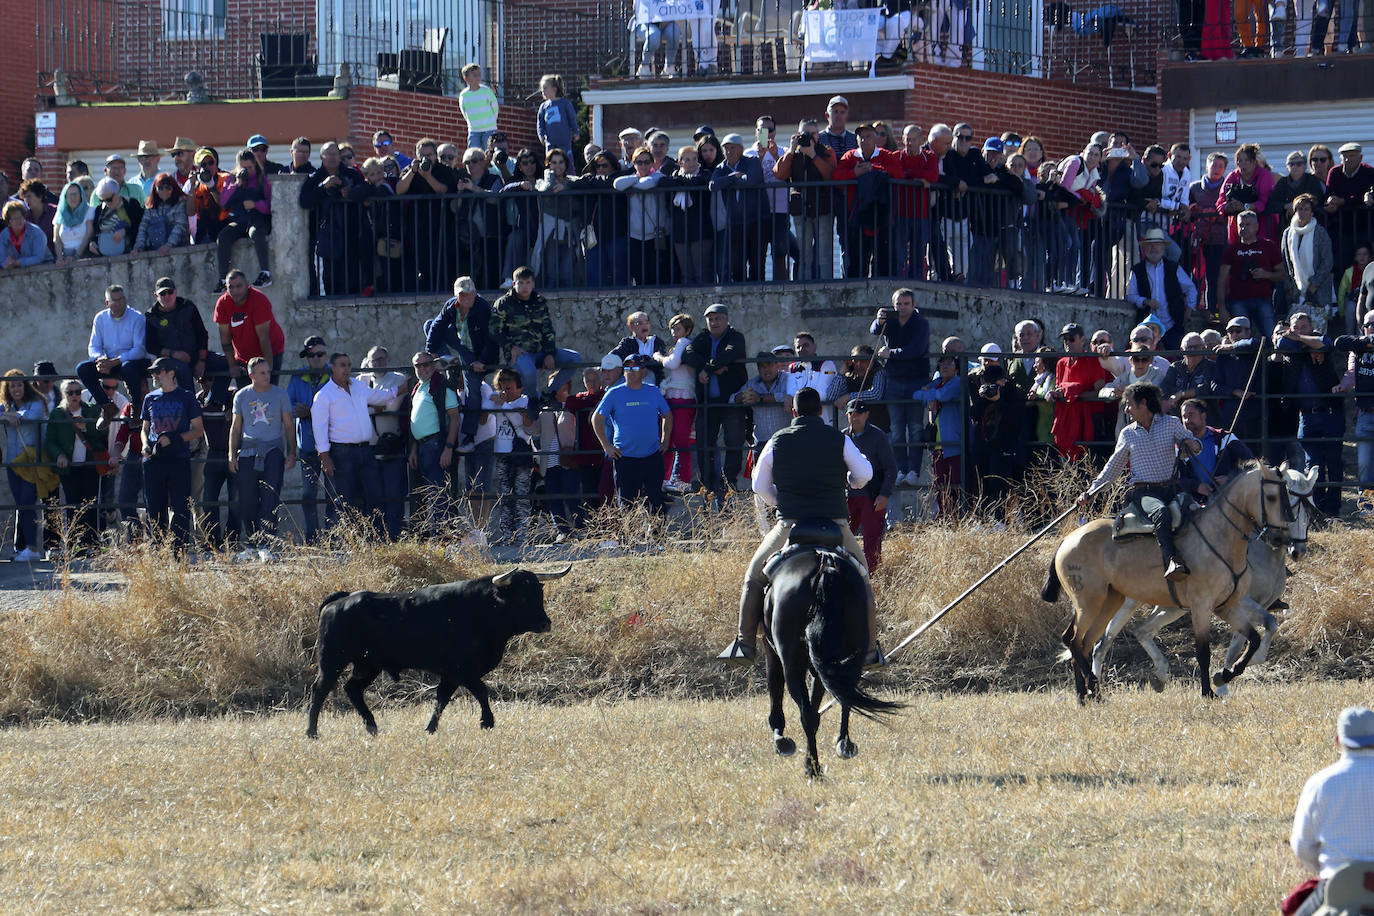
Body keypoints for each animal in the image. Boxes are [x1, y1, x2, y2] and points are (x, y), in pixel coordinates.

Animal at [306, 565, 568, 736]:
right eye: (522, 596)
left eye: (539, 594)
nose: (545, 623)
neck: (481, 609)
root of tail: (341, 600)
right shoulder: (462, 670)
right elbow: (481, 691)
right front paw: (487, 721)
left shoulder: (451, 674)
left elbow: (441, 699)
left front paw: (430, 728)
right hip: (332, 662)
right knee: (320, 690)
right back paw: (312, 731)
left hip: (367, 665)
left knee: (352, 689)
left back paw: (372, 726)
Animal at [763, 519, 901, 780]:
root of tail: (824, 564)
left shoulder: (772, 652)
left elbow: (776, 688)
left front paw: (780, 738)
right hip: (848, 655)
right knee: (843, 694)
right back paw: (843, 744)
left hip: (792, 660)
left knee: (806, 712)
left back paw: (813, 767)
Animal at [1044, 466, 1291, 703]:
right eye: (1271, 497)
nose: (1280, 538)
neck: (1218, 538)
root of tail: (1067, 539)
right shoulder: (1201, 606)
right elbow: (1203, 652)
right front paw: (1207, 692)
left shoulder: (1228, 606)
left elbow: (1254, 638)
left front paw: (1224, 676)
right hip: (1088, 603)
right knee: (1074, 641)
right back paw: (1093, 690)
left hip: (1109, 601)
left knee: (1083, 643)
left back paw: (1085, 696)